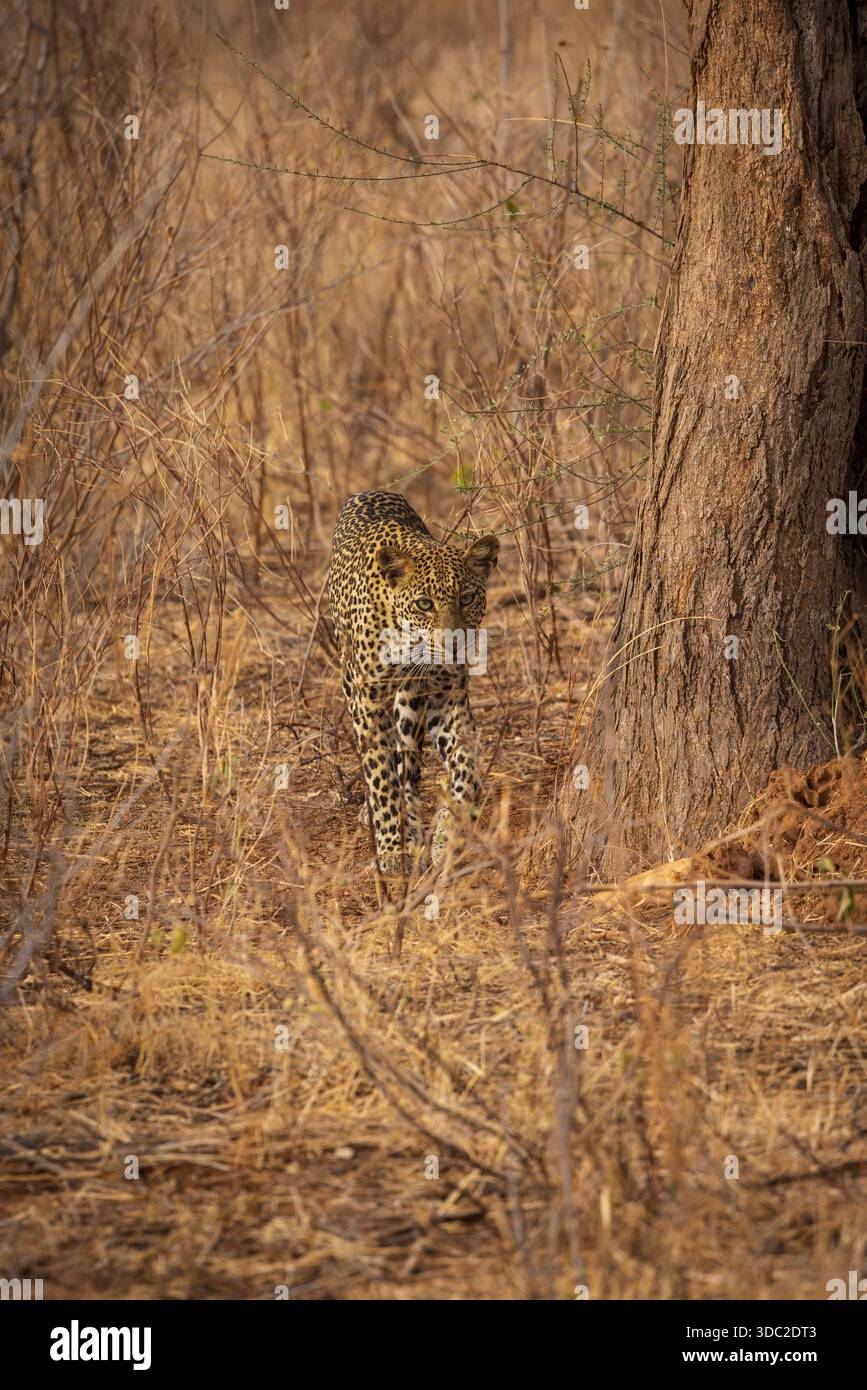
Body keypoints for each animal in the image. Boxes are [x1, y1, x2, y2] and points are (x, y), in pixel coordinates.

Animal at [327, 491, 499, 876]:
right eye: (424, 604)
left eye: (467, 598)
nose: (454, 644)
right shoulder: (369, 702)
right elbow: (380, 778)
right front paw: (391, 849)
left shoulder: (446, 698)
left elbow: (465, 767)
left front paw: (447, 836)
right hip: (351, 684)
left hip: (410, 704)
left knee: (407, 764)